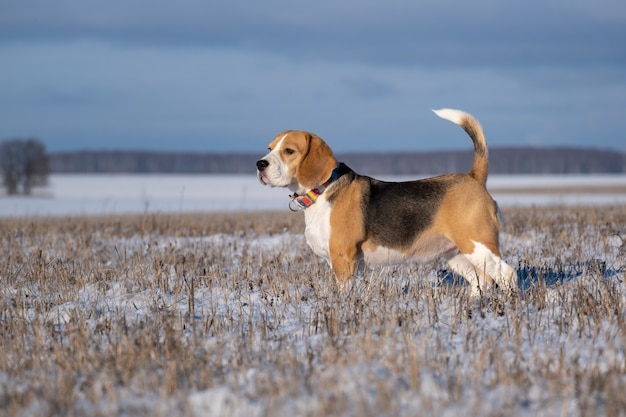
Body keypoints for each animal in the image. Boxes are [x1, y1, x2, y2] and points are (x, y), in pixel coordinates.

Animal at [255, 109, 516, 294]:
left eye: (289, 151)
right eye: (269, 148)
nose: (260, 164)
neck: (323, 190)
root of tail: (473, 177)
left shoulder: (343, 259)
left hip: (479, 246)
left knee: (507, 275)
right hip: (457, 254)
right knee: (482, 281)